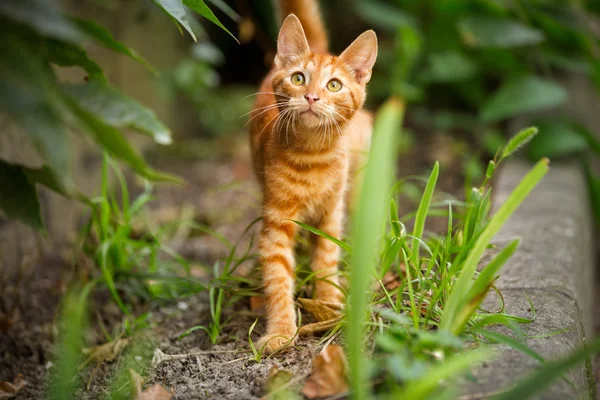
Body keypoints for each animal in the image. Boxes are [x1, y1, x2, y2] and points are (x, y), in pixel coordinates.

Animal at [247, 0, 378, 354]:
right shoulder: (276, 222)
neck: (312, 158)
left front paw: (329, 304)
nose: (311, 97)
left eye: (333, 85)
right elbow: (278, 278)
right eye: (298, 78)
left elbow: (327, 261)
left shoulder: (330, 215)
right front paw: (281, 331)